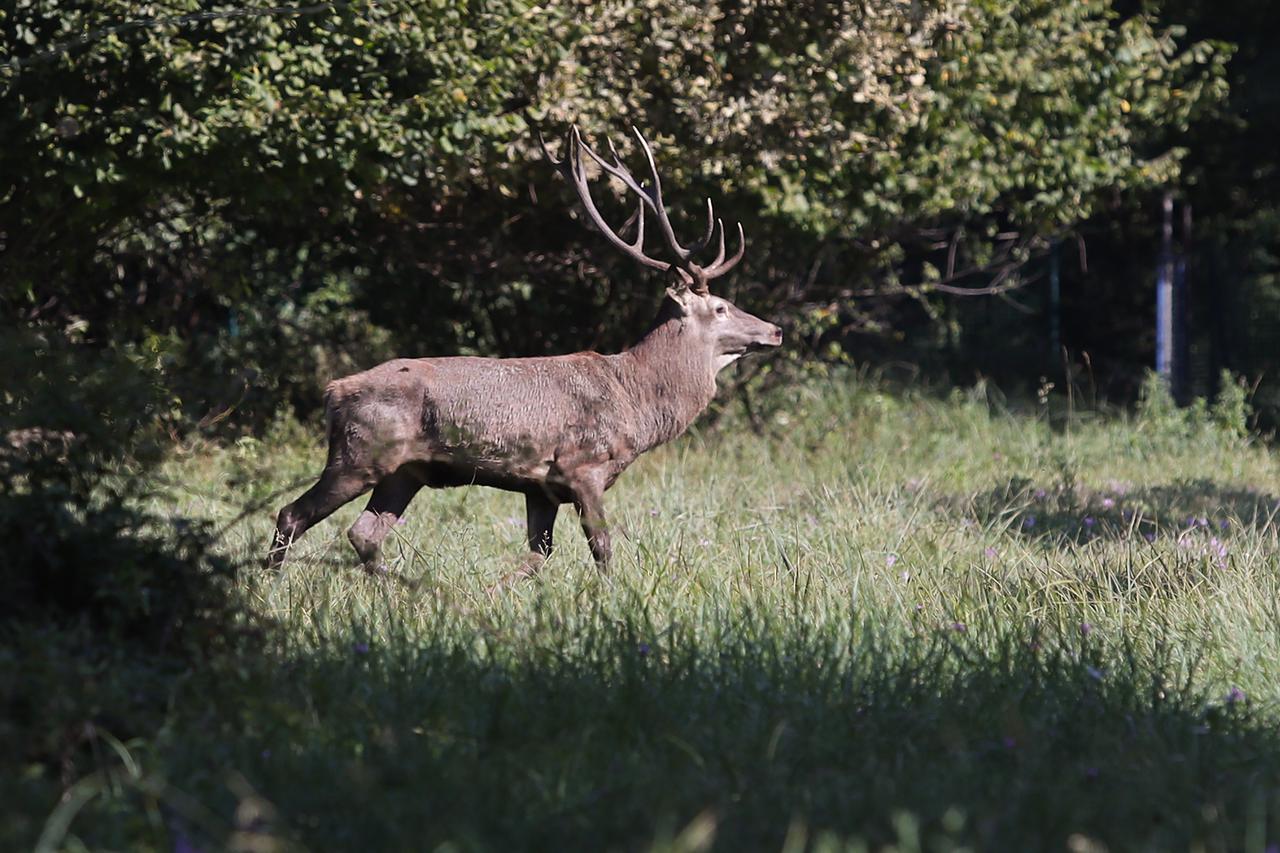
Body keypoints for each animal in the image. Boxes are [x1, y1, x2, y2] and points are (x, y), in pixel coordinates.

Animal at [267, 124, 778, 578]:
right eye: (720, 307)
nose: (774, 330)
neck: (637, 401)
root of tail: (333, 392)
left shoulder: (541, 486)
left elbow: (538, 555)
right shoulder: (582, 466)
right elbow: (602, 548)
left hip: (404, 471)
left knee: (364, 533)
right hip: (359, 454)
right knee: (291, 514)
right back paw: (271, 585)